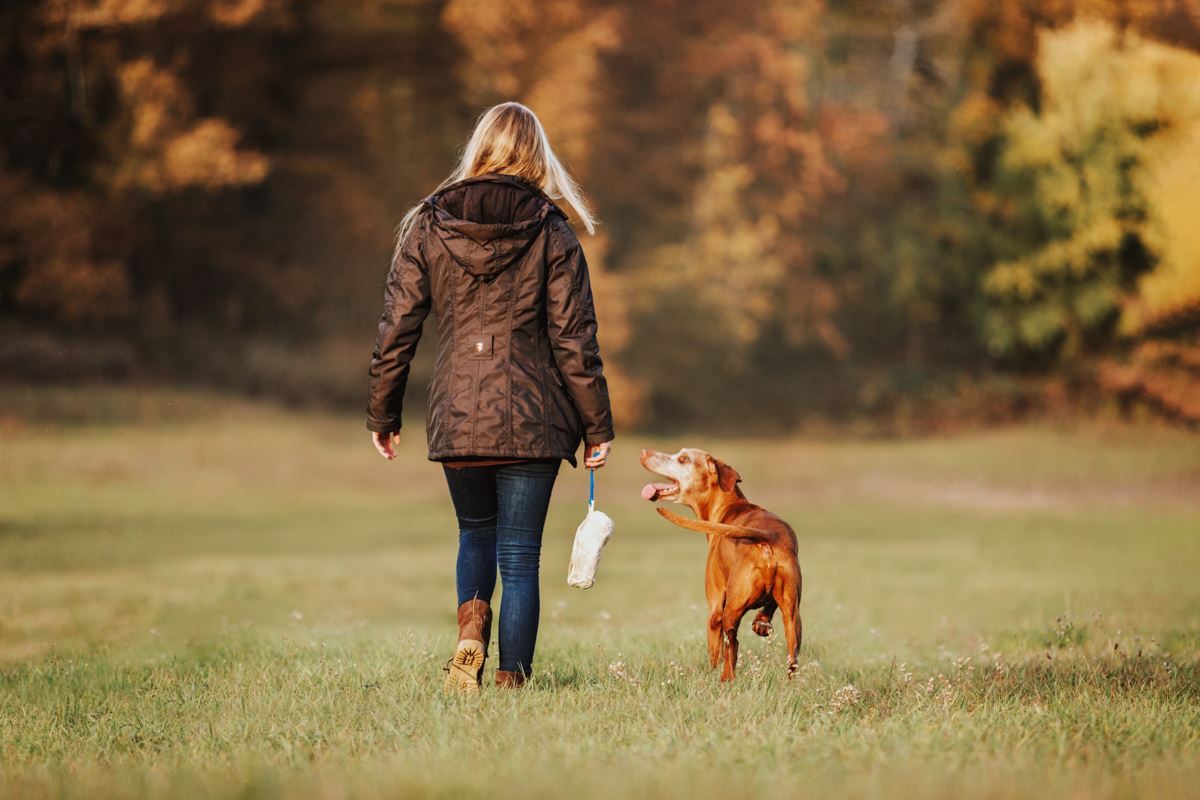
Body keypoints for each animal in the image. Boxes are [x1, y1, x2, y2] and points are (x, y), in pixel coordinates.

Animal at [643, 448, 801, 681]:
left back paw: (726, 678)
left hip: (729, 611)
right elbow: (768, 608)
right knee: (792, 656)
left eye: (683, 459)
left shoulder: (715, 609)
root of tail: (766, 538)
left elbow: (715, 655)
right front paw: (761, 623)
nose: (644, 452)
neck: (728, 508)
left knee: (732, 645)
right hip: (793, 617)